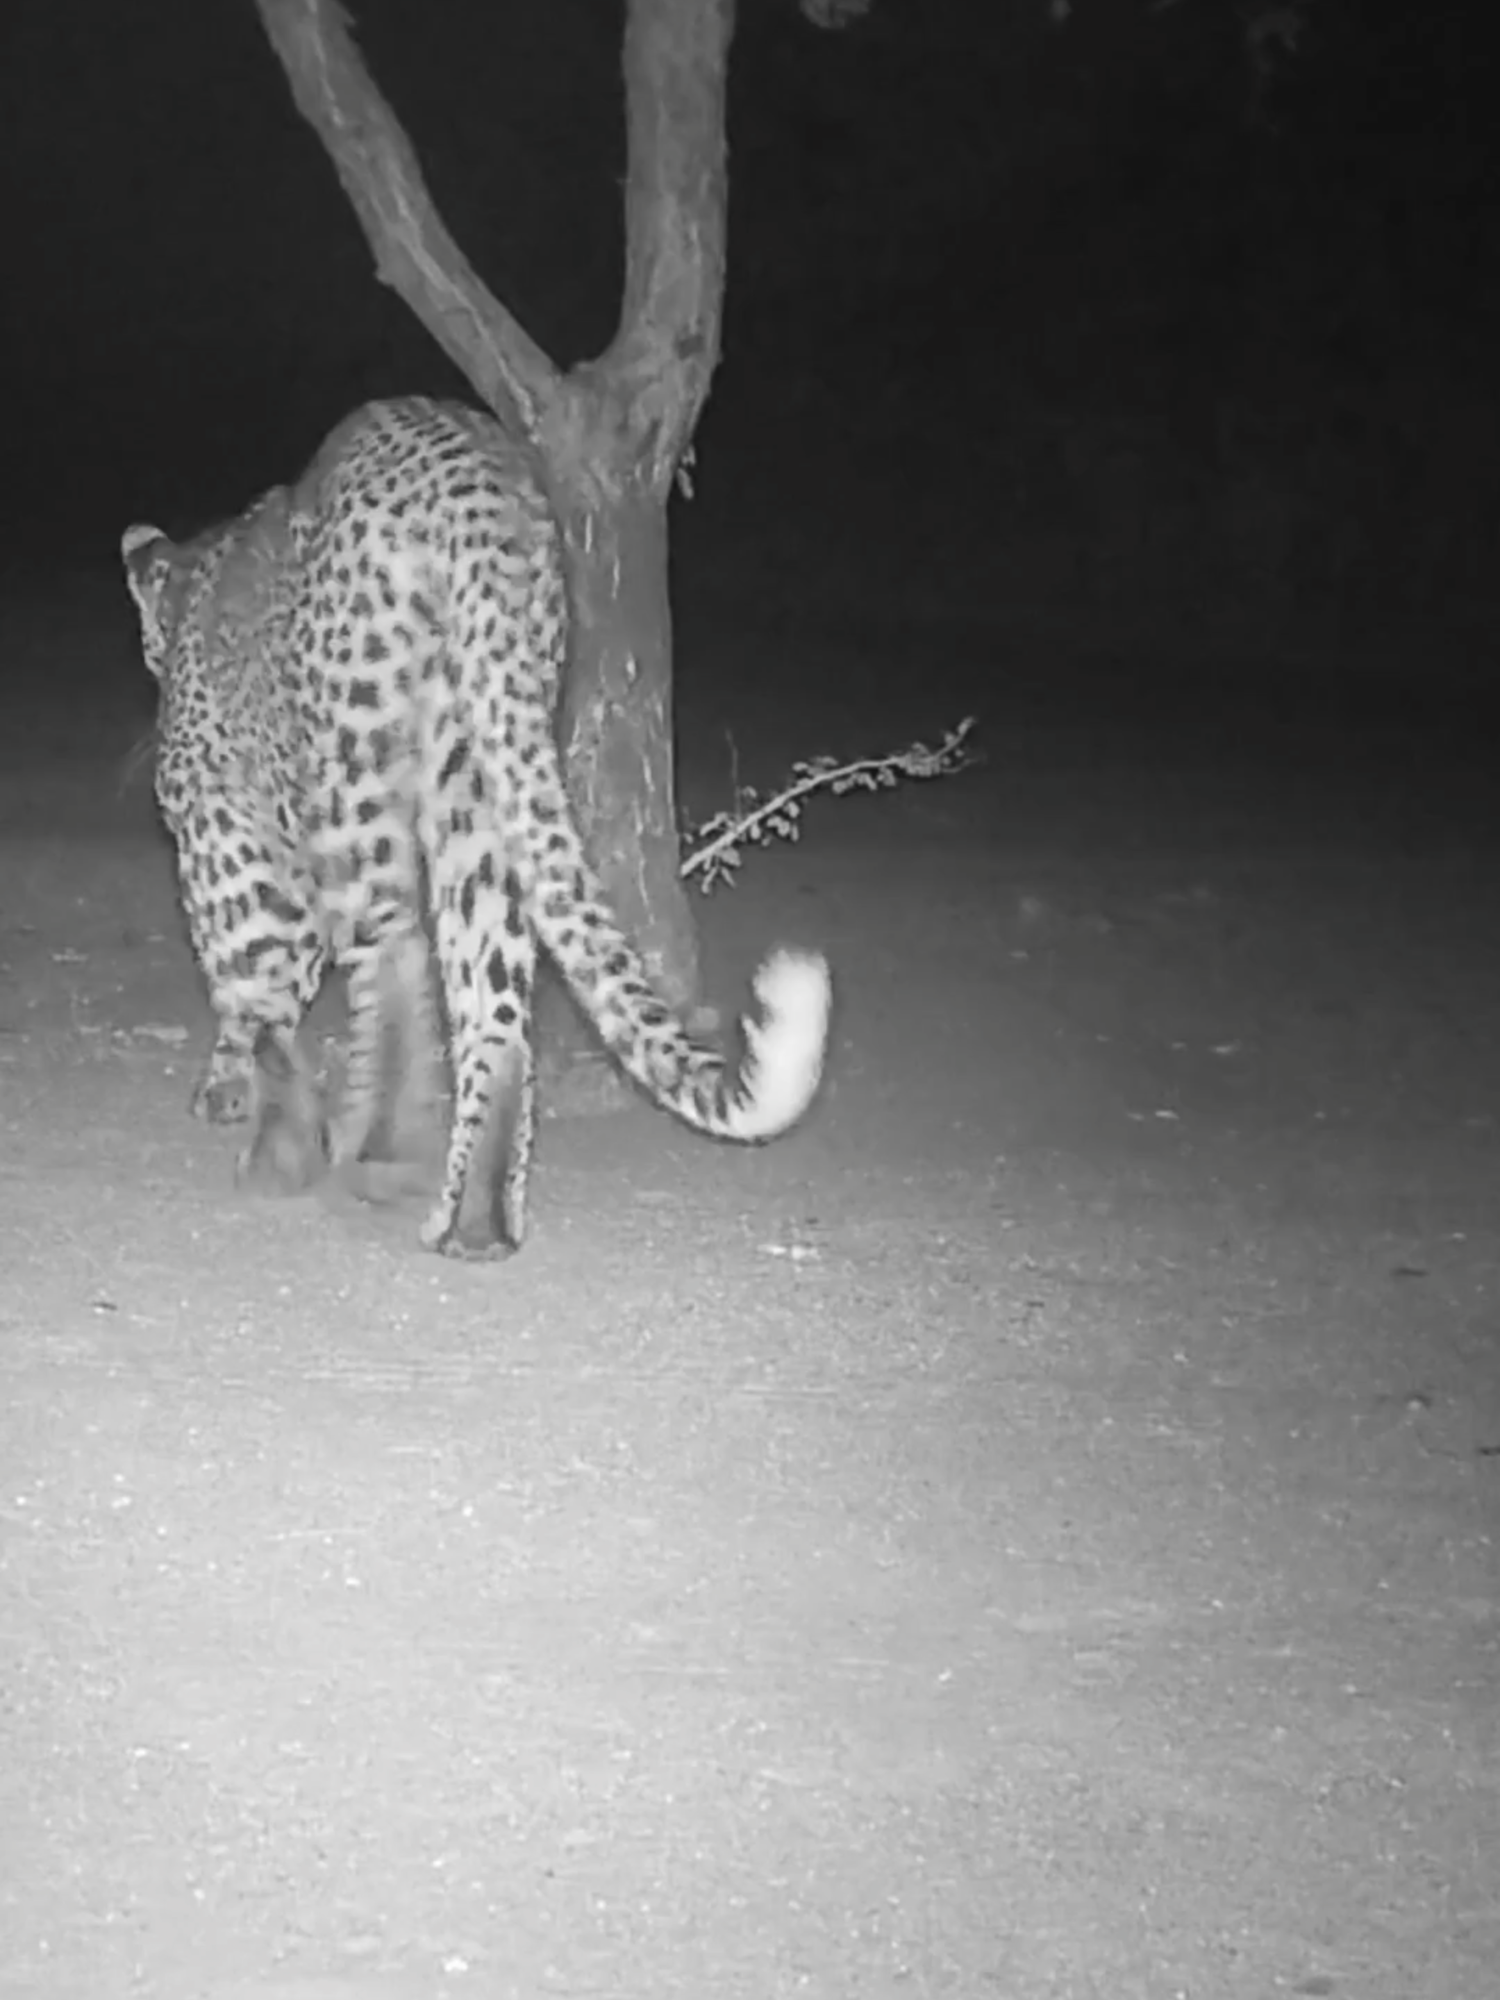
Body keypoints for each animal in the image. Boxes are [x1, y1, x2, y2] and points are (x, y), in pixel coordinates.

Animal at [121, 397, 832, 1259]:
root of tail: (469, 473)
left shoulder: (222, 831)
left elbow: (252, 983)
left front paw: (249, 1114)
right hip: (484, 749)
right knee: (490, 992)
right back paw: (472, 1218)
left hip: (358, 766)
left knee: (394, 950)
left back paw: (374, 1156)